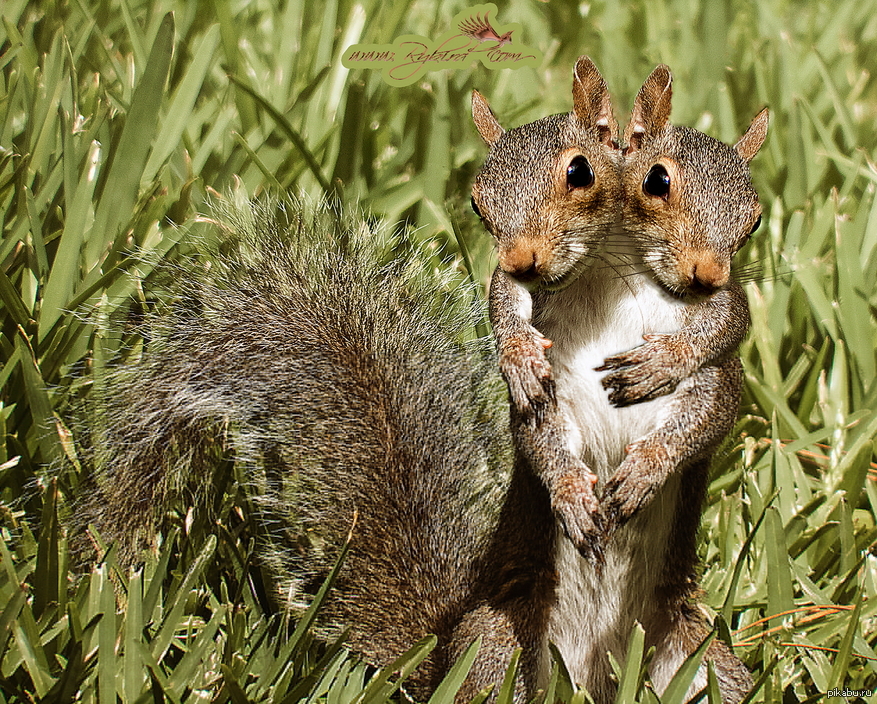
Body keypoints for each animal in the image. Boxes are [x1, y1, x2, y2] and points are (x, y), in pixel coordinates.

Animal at [466, 57, 768, 700]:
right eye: (478, 205)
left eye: (754, 219)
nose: (706, 274)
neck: (616, 279)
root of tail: (592, 678)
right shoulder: (544, 377)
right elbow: (535, 423)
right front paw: (570, 490)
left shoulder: (720, 371)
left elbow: (711, 403)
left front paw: (650, 449)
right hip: (496, 648)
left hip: (697, 658)